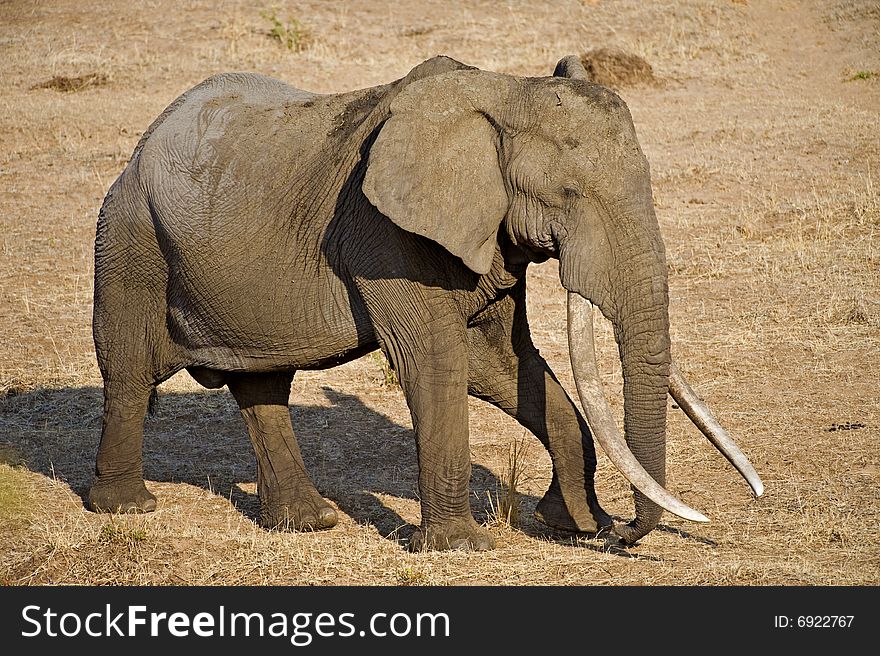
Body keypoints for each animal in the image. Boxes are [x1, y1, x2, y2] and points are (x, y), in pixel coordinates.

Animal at [91, 53, 764, 552]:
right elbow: (437, 363)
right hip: (129, 240)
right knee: (129, 372)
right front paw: (463, 547)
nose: (620, 533)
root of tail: (143, 144)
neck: (503, 92)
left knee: (262, 383)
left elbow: (507, 363)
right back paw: (126, 507)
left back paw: (307, 521)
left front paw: (570, 525)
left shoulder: (488, 233)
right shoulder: (388, 236)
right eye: (567, 195)